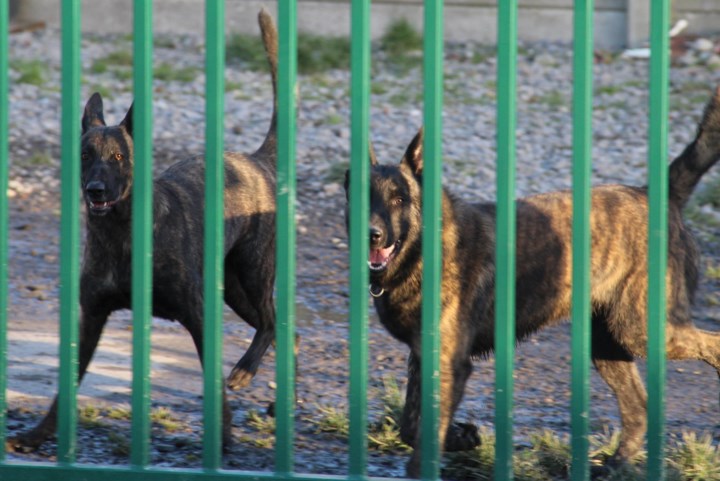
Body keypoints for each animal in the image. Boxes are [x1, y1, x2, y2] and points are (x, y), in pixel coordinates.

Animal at [11, 7, 282, 452]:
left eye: (120, 156)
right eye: (85, 154)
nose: (95, 189)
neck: (121, 236)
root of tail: (258, 160)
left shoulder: (197, 313)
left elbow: (215, 387)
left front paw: (223, 435)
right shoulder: (92, 315)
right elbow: (64, 391)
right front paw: (37, 435)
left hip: (253, 272)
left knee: (272, 322)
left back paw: (244, 369)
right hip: (234, 290)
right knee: (283, 331)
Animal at [348, 87, 720, 476]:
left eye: (399, 199)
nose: (372, 234)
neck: (423, 250)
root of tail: (657, 195)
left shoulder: (449, 362)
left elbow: (424, 434)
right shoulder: (423, 357)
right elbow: (411, 426)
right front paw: (461, 436)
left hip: (641, 330)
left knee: (712, 345)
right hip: (608, 343)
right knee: (638, 408)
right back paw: (613, 464)